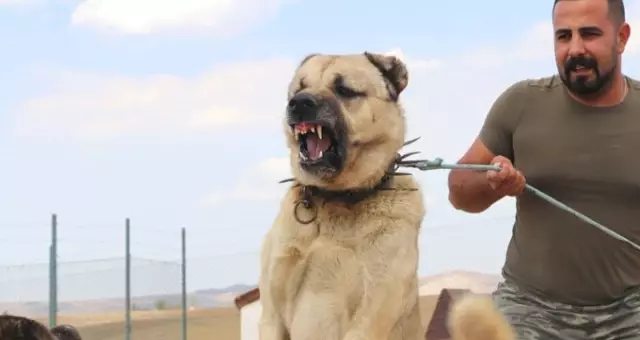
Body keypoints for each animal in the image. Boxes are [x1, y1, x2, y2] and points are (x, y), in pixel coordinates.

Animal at [258, 51, 428, 340]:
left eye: (344, 90)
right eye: (299, 88)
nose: (299, 103)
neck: (336, 196)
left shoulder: (371, 313)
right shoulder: (272, 315)